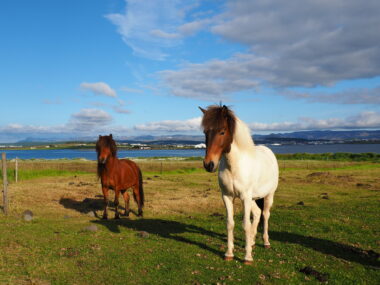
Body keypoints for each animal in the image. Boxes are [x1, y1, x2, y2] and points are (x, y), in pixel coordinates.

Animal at [199, 105, 280, 264]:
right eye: (205, 132)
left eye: (222, 131)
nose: (209, 164)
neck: (235, 166)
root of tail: (269, 151)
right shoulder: (227, 197)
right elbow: (230, 224)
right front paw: (229, 253)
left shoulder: (244, 197)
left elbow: (245, 224)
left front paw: (247, 257)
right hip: (253, 198)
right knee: (257, 213)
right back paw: (253, 241)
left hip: (268, 195)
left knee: (265, 215)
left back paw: (266, 242)